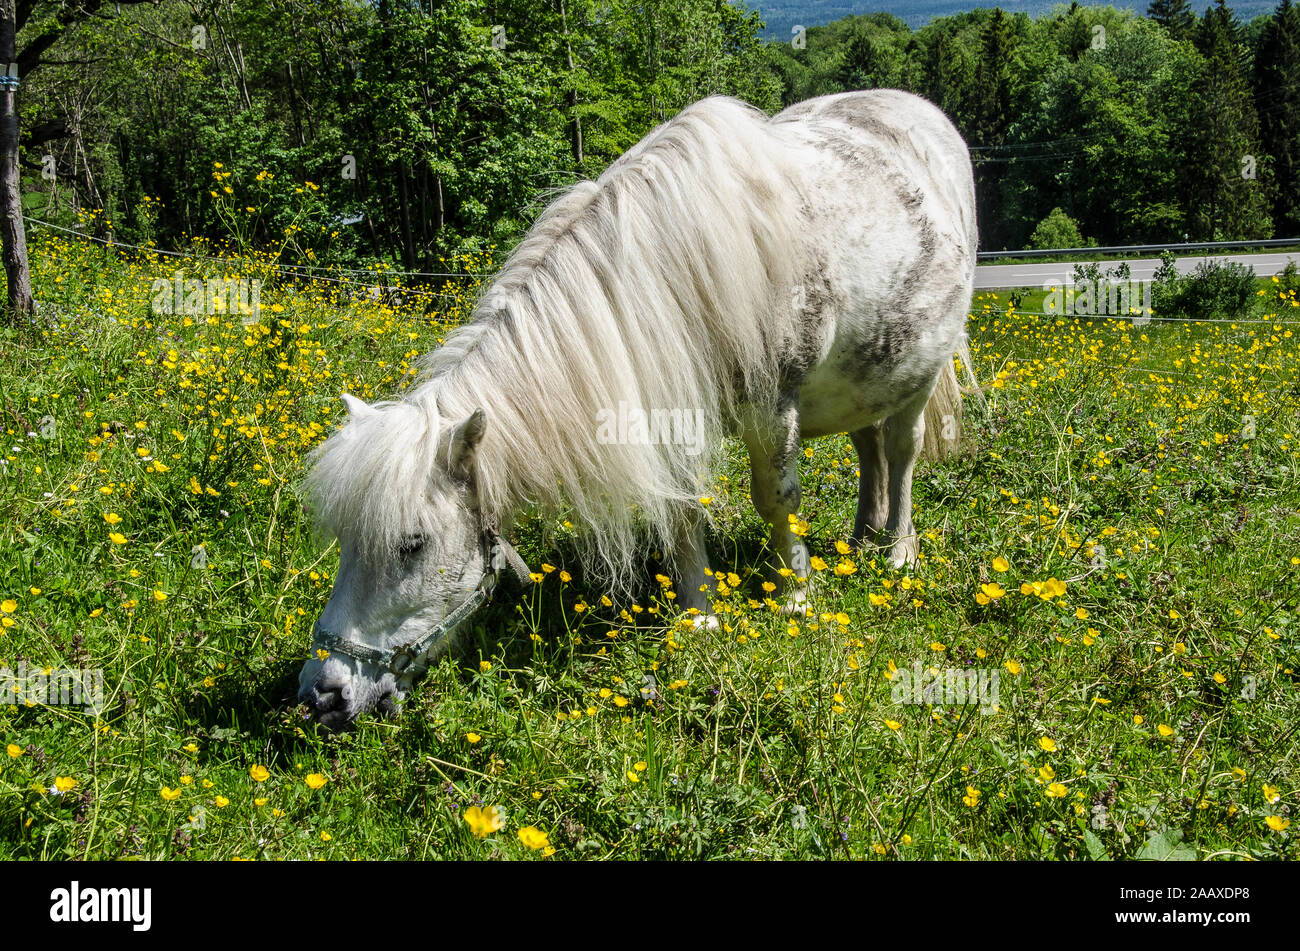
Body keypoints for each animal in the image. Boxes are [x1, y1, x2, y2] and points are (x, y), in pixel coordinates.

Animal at [297, 88, 977, 727]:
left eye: (412, 544)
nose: (321, 695)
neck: (681, 271)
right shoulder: (670, 414)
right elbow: (680, 514)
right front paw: (699, 618)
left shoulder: (772, 409)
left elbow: (777, 501)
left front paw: (796, 600)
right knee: (868, 447)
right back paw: (860, 537)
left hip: (919, 375)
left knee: (901, 449)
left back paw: (897, 551)